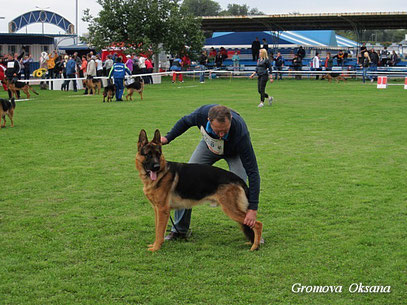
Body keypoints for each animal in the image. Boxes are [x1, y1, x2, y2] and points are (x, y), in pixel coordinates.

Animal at [136, 129, 264, 251]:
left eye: (158, 154)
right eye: (148, 155)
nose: (156, 167)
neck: (161, 174)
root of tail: (238, 179)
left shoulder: (163, 210)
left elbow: (159, 231)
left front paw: (156, 248)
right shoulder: (157, 210)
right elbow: (157, 229)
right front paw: (154, 245)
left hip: (230, 209)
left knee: (257, 224)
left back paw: (255, 246)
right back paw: (252, 242)